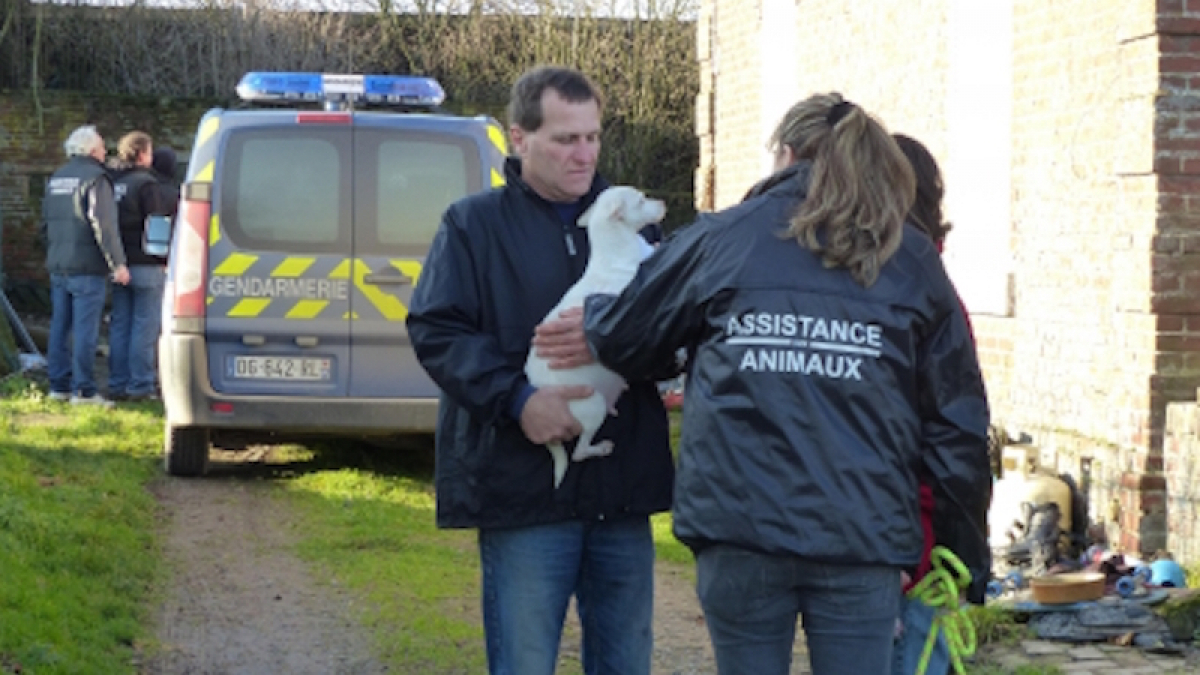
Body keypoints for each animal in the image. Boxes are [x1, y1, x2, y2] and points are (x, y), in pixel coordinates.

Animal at [525, 186, 672, 485]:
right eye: (641, 200)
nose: (663, 202)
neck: (615, 250)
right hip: (593, 407)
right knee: (579, 452)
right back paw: (600, 447)